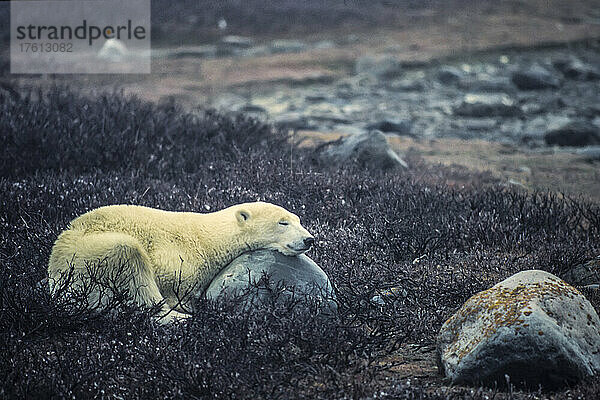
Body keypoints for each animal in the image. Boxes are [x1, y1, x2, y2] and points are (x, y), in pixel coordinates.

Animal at [48, 202, 314, 324]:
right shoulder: (176, 256)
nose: (309, 239)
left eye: (298, 220)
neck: (209, 239)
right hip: (88, 253)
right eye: (283, 223)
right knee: (130, 260)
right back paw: (180, 318)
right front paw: (185, 306)